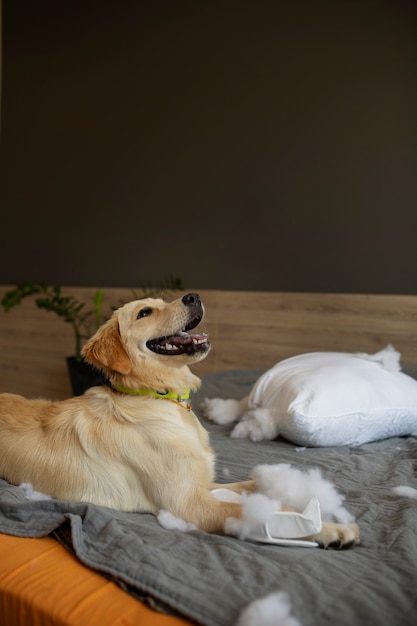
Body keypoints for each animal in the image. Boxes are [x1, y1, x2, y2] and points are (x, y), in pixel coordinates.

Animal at [0, 292, 358, 544]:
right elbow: (265, 514)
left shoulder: (201, 484)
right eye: (144, 312)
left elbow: (250, 485)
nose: (194, 296)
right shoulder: (187, 504)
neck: (156, 398)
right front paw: (331, 528)